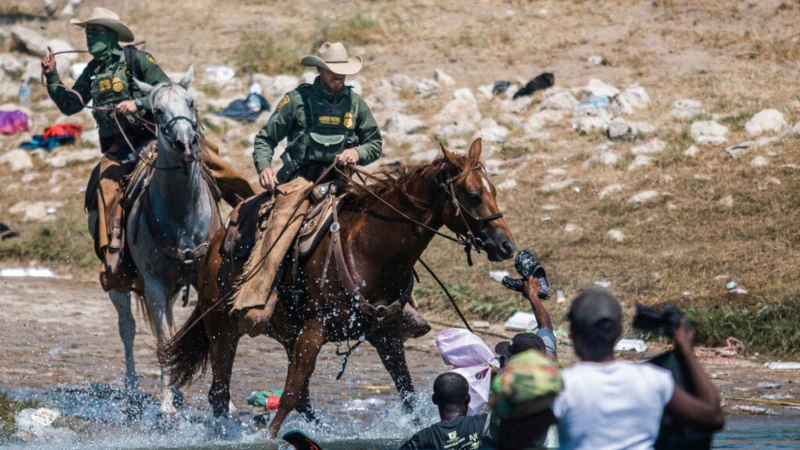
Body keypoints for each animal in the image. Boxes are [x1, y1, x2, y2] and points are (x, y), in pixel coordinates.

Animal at [104, 66, 222, 414]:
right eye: (157, 111)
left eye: (191, 102)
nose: (185, 144)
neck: (182, 215)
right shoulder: (154, 283)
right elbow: (163, 342)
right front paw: (166, 405)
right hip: (120, 283)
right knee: (128, 328)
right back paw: (134, 392)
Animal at [161, 139, 520, 438]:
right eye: (473, 195)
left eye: (494, 191)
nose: (507, 245)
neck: (369, 250)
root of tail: (215, 245)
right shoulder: (313, 331)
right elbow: (289, 394)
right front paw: (269, 438)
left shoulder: (386, 334)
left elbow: (406, 391)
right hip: (223, 329)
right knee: (220, 393)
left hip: (285, 333)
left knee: (300, 398)